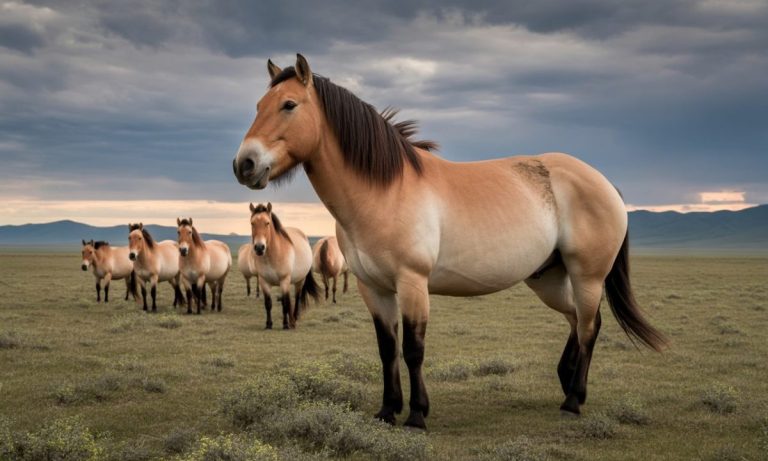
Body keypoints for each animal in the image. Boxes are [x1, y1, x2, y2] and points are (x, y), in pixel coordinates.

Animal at [232, 55, 667, 429]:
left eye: (289, 104)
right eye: (257, 105)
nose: (244, 165)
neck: (383, 192)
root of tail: (604, 182)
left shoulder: (412, 283)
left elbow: (413, 349)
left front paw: (416, 415)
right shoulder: (373, 288)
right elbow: (387, 348)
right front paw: (387, 411)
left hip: (586, 276)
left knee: (590, 326)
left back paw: (574, 399)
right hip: (549, 279)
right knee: (576, 320)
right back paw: (565, 384)